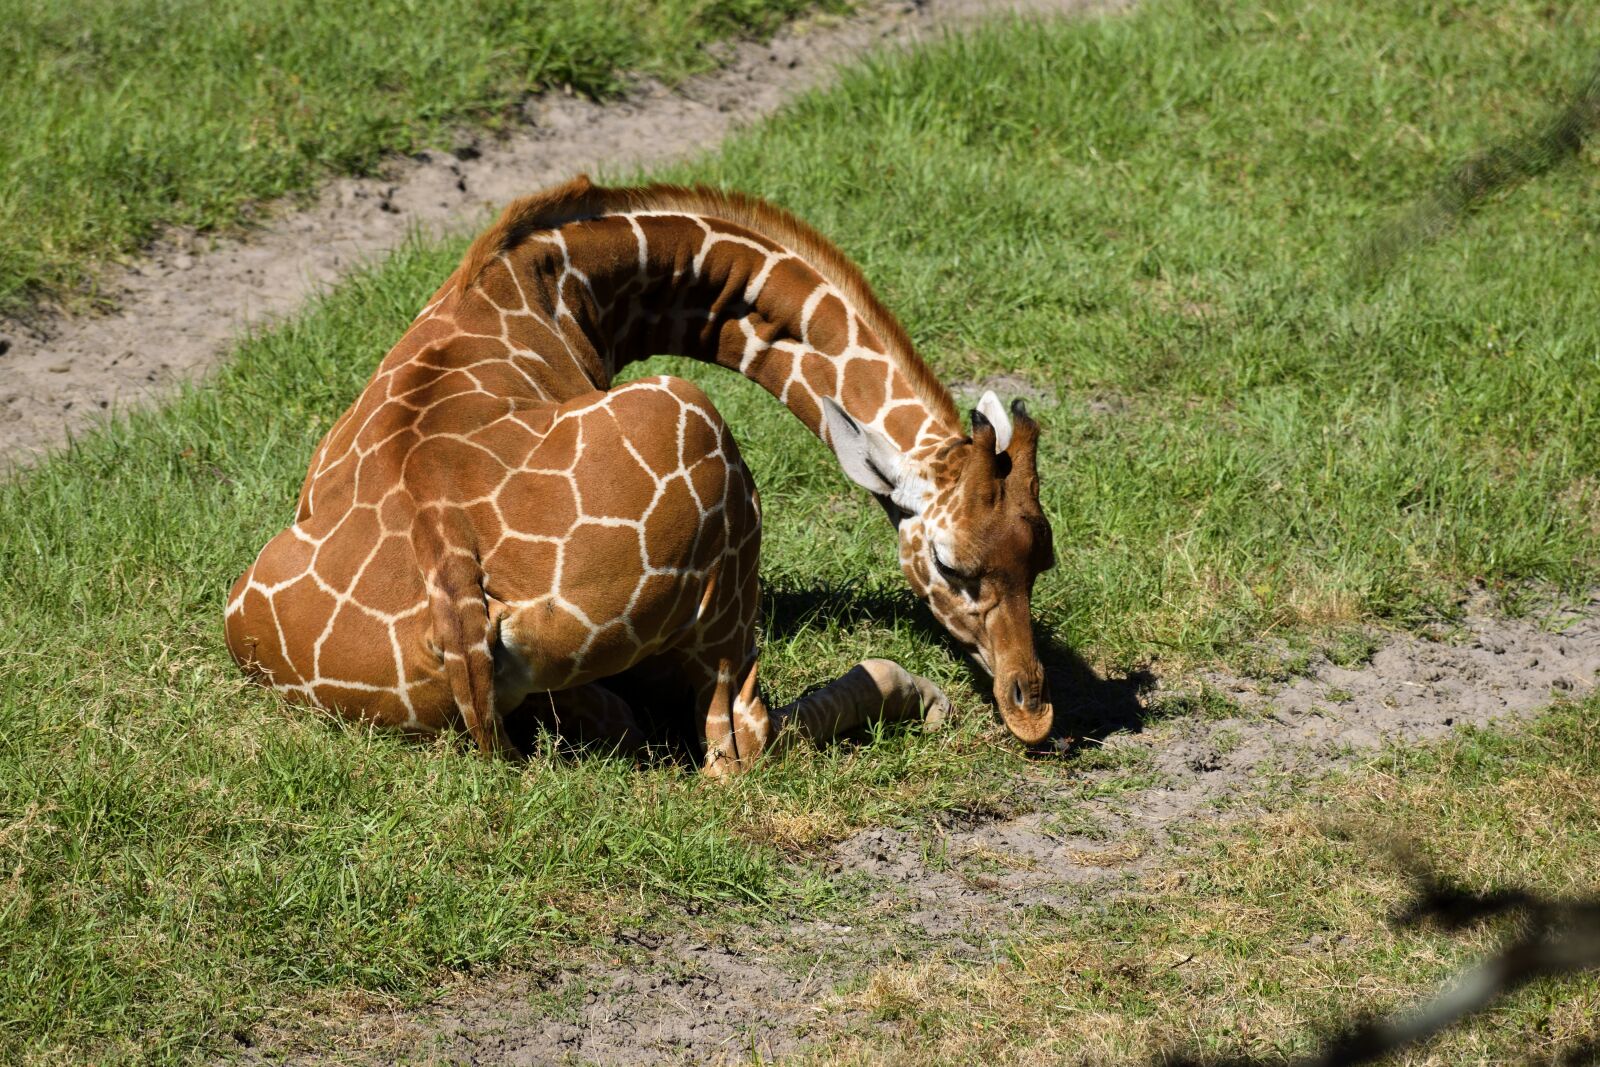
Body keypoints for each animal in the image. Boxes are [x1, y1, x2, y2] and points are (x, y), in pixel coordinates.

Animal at [225, 176, 1057, 776]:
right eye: (949, 566)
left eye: (1042, 558)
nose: (1032, 708)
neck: (571, 279)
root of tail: (451, 570)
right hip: (704, 441)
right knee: (738, 746)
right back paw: (920, 695)